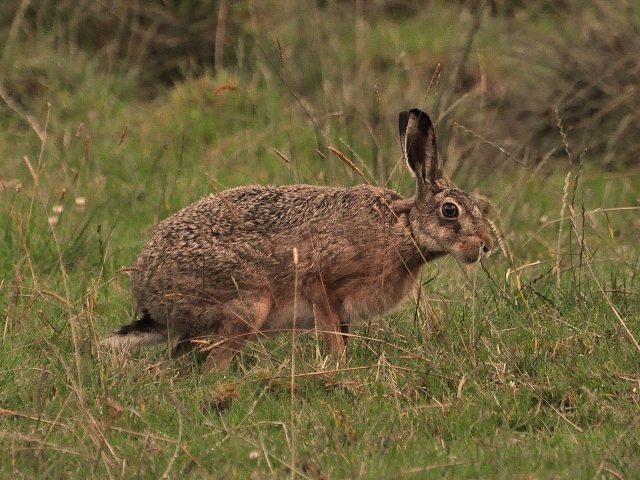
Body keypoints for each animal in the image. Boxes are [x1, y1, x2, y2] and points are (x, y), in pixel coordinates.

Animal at [102, 108, 493, 371]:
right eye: (450, 211)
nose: (486, 245)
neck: (404, 227)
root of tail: (148, 293)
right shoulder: (322, 284)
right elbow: (332, 335)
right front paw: (340, 367)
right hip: (250, 305)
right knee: (213, 362)